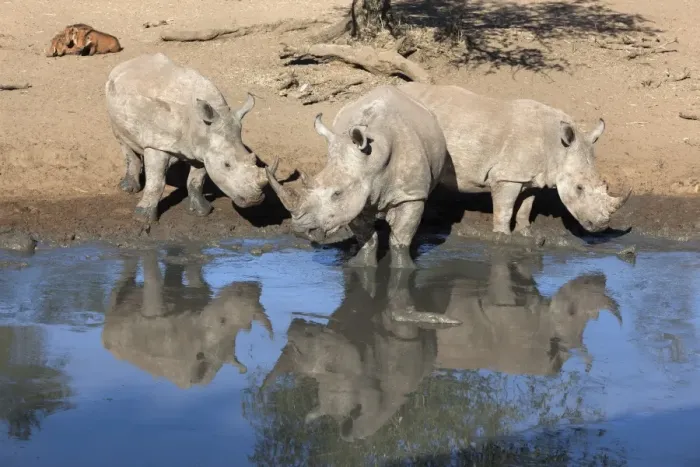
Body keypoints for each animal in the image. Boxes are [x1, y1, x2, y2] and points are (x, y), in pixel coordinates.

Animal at [102, 247, 273, 388]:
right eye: (222, 320)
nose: (252, 286)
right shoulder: (156, 319)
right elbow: (155, 285)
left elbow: (194, 278)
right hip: (116, 342)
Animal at [105, 53, 279, 222]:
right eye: (227, 165)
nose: (254, 200)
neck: (203, 127)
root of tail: (129, 62)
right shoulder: (157, 143)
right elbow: (156, 182)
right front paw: (143, 218)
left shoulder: (203, 150)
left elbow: (197, 180)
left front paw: (202, 211)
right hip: (111, 94)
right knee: (123, 141)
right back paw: (128, 189)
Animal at [266, 85, 447, 269]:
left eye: (337, 193)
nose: (300, 231)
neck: (373, 161)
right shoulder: (353, 197)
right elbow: (366, 237)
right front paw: (360, 264)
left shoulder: (410, 194)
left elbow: (400, 241)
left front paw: (404, 268)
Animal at [398, 82, 631, 235]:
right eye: (579, 188)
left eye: (605, 184)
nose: (600, 227)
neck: (557, 148)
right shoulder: (507, 176)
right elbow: (505, 210)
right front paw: (503, 236)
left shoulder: (532, 176)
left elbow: (526, 207)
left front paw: (525, 233)